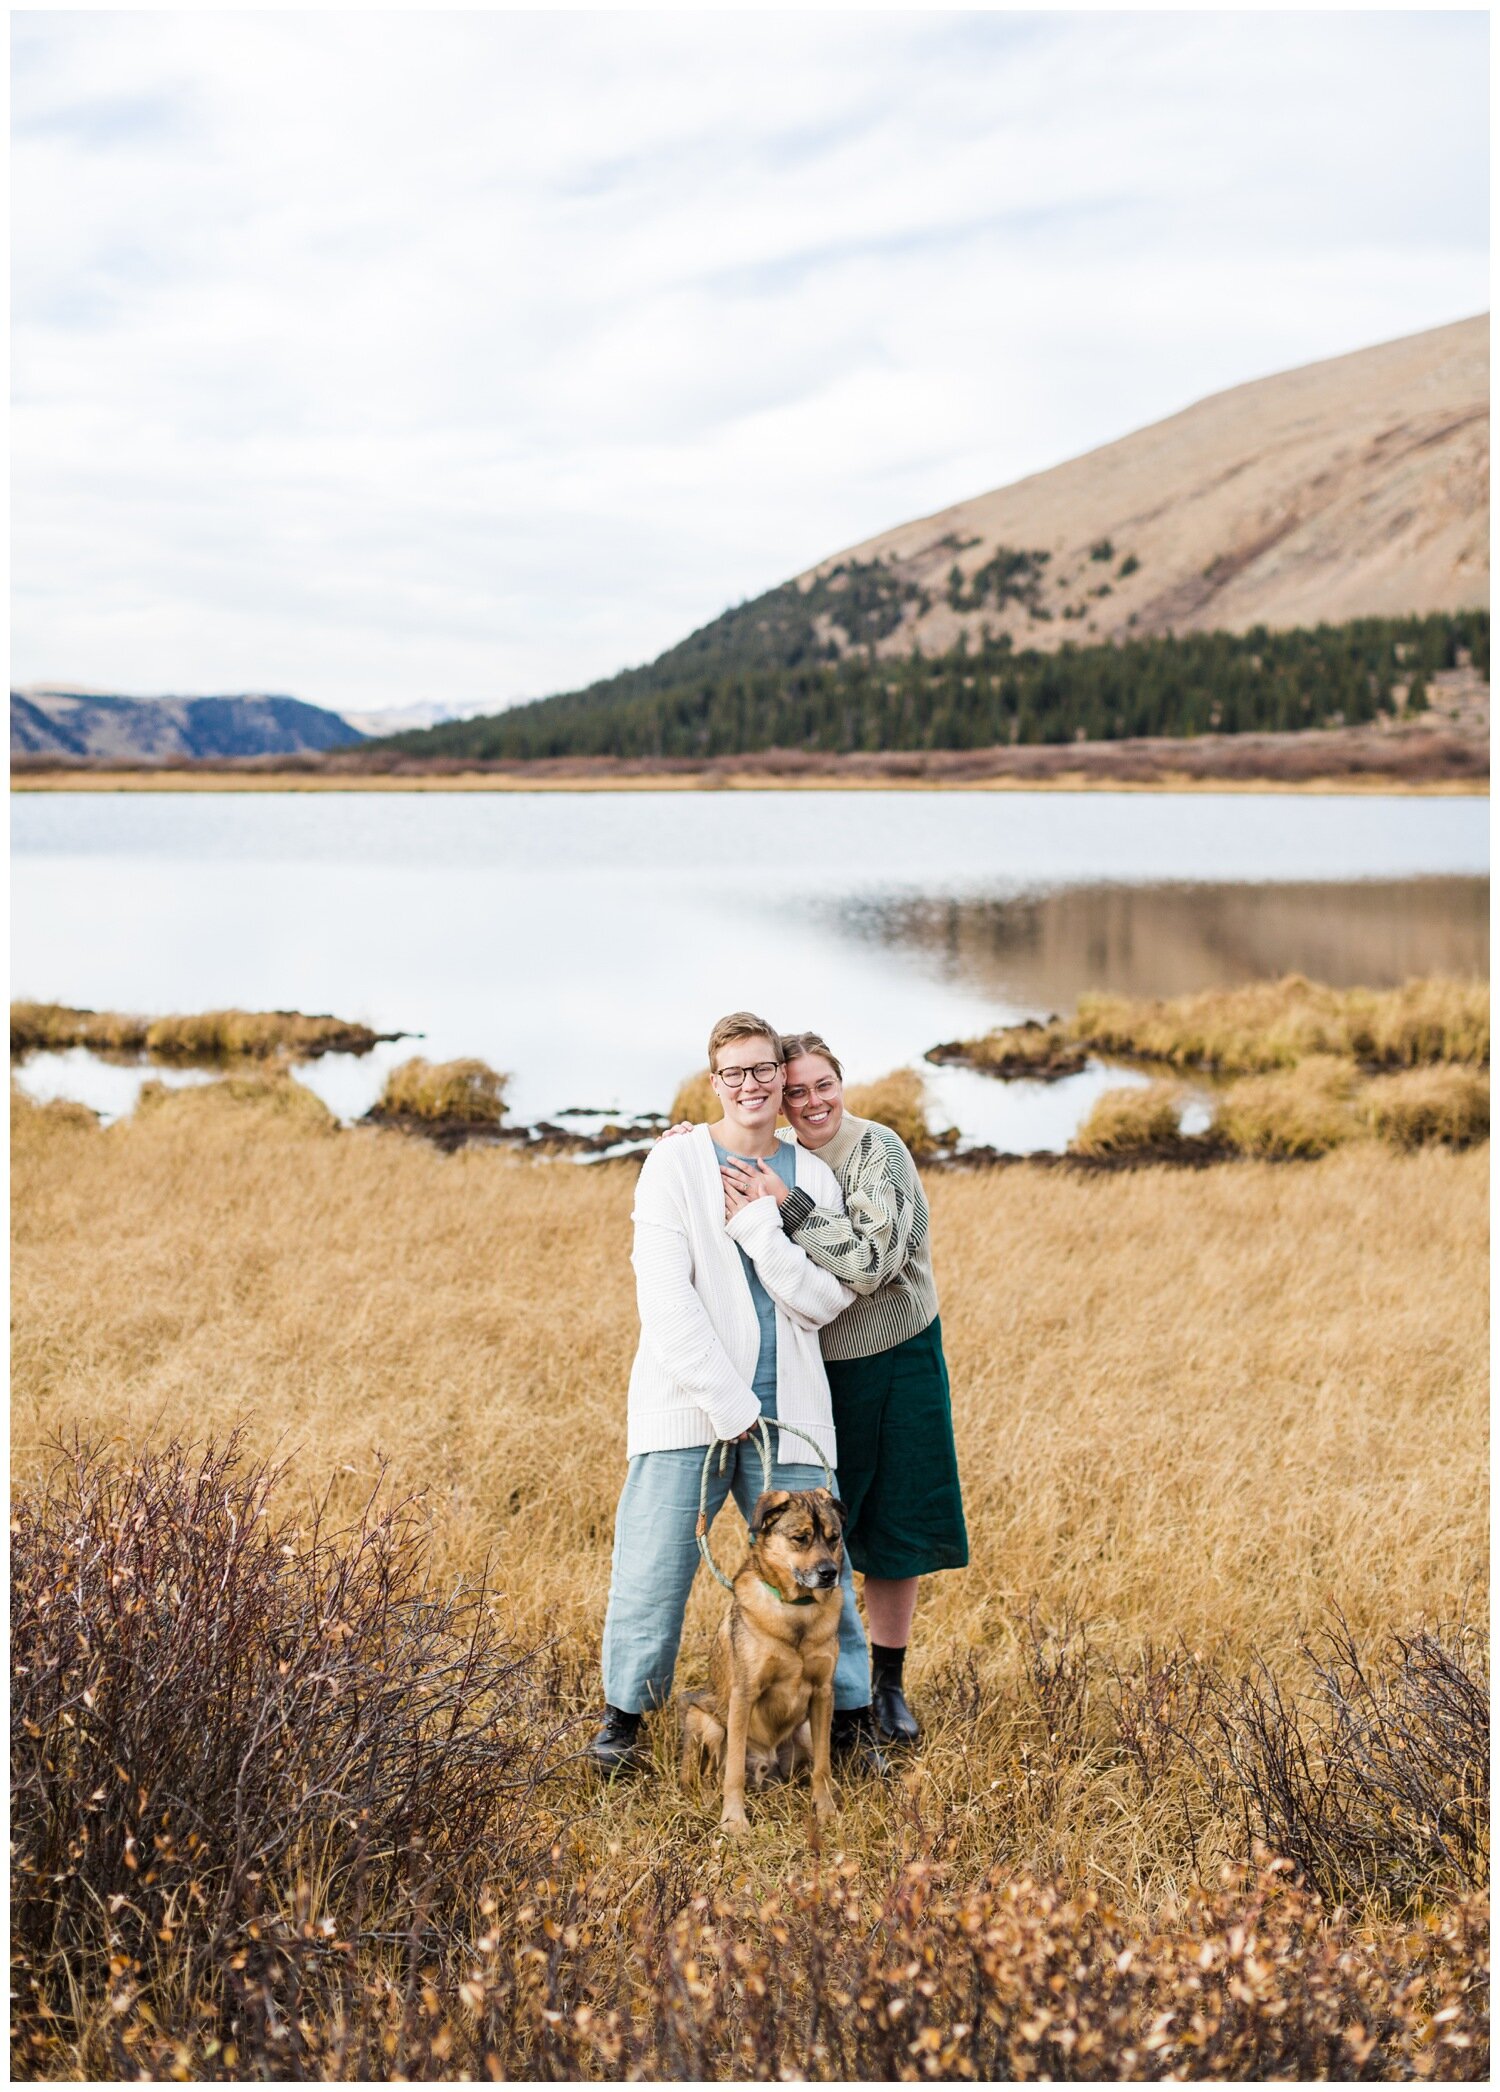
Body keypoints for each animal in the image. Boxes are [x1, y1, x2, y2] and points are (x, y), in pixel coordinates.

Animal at [682, 1489, 849, 1832]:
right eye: (800, 1538)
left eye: (834, 1537)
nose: (829, 1574)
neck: (798, 1610)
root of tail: (766, 1763)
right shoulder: (744, 1694)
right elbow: (732, 1771)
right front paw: (733, 1821)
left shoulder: (823, 1693)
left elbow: (823, 1767)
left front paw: (826, 1811)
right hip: (707, 1721)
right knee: (708, 1776)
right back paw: (707, 1799)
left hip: (805, 1730)